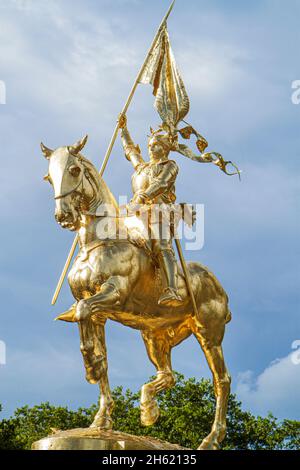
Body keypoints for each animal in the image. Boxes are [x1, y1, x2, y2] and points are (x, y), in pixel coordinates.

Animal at [41, 134, 232, 450]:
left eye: (74, 170)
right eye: (48, 176)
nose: (63, 216)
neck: (98, 241)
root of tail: (217, 284)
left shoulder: (112, 294)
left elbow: (86, 323)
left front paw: (90, 369)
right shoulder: (95, 310)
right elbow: (100, 352)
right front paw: (101, 418)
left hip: (209, 334)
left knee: (221, 380)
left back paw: (211, 439)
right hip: (153, 336)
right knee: (168, 376)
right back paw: (149, 409)